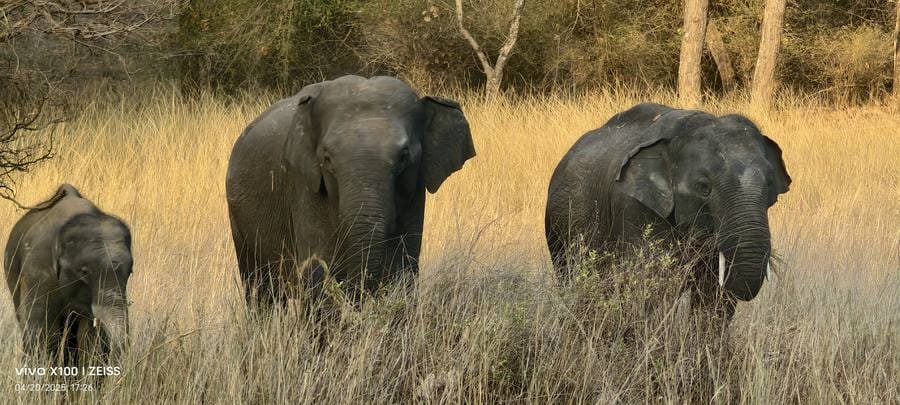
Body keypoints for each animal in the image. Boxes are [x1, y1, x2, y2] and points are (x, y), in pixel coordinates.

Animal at [226, 75, 475, 308]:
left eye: (404, 155)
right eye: (327, 158)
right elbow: (318, 272)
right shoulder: (304, 185)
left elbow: (403, 269)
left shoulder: (415, 192)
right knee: (260, 291)